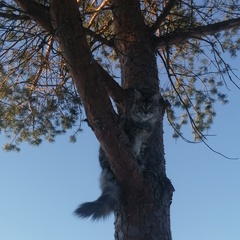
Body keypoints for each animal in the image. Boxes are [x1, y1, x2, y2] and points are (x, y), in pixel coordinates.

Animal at [74, 89, 161, 219]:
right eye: (141, 107)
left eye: (150, 108)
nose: (145, 113)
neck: (143, 125)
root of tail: (104, 169)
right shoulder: (129, 135)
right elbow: (132, 148)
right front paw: (135, 158)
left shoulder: (144, 142)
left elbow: (140, 154)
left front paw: (139, 163)